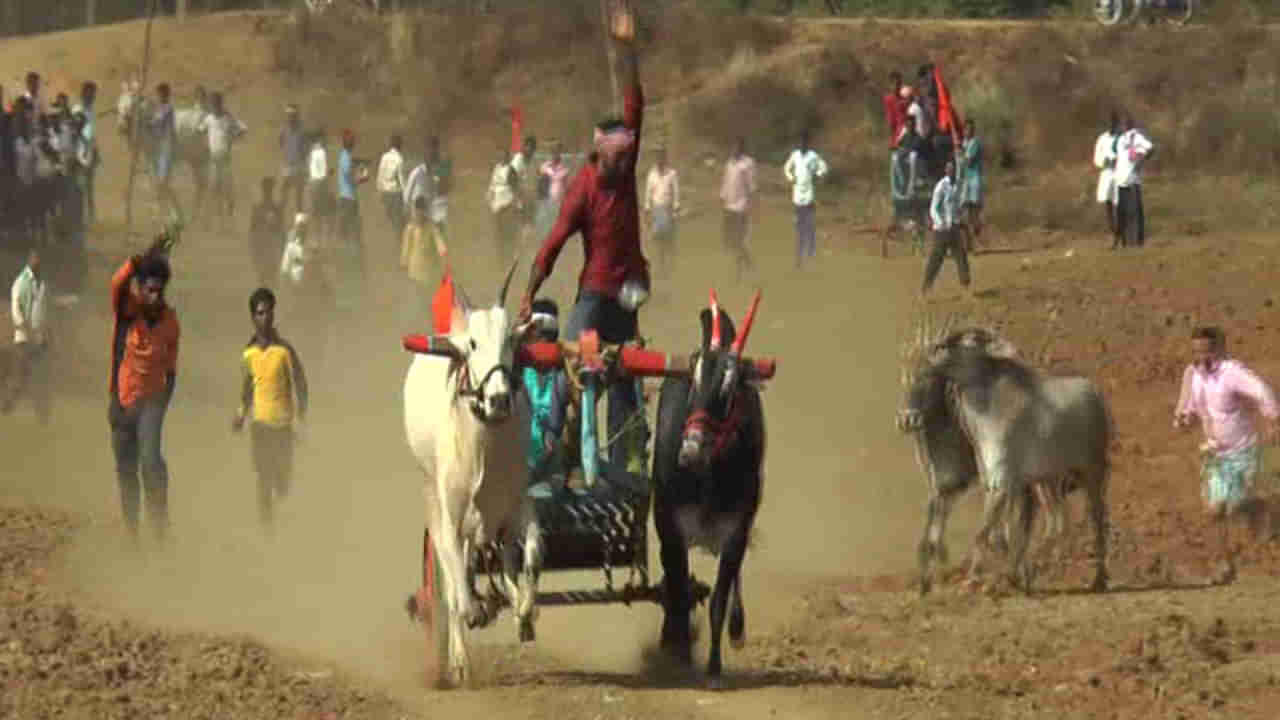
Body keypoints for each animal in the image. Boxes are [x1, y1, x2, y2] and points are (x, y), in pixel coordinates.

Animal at [901, 322, 1111, 591]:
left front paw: (976, 580)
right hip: (1049, 483)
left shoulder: (1003, 481)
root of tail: (1095, 395)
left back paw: (1098, 579)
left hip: (1092, 472)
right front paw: (1009, 576)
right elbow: (997, 532)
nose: (935, 350)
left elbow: (986, 533)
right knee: (1059, 524)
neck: (990, 412)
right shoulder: (993, 483)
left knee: (1097, 519)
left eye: (970, 340)